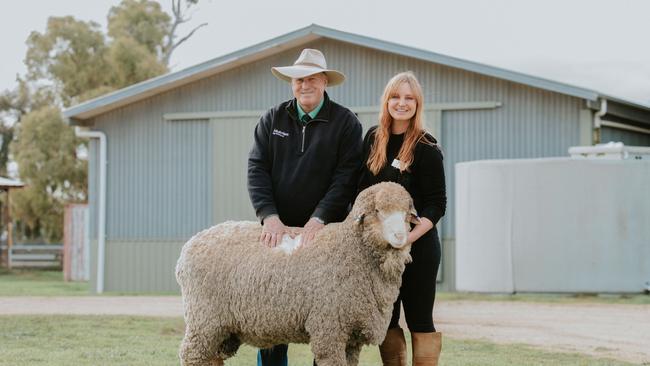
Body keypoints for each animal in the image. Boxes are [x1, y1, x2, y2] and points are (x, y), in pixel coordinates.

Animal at [173, 183, 416, 366]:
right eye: (378, 212)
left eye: (406, 214)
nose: (400, 236)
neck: (350, 248)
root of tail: (190, 245)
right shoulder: (329, 328)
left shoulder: (351, 337)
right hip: (204, 317)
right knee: (192, 355)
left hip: (220, 327)